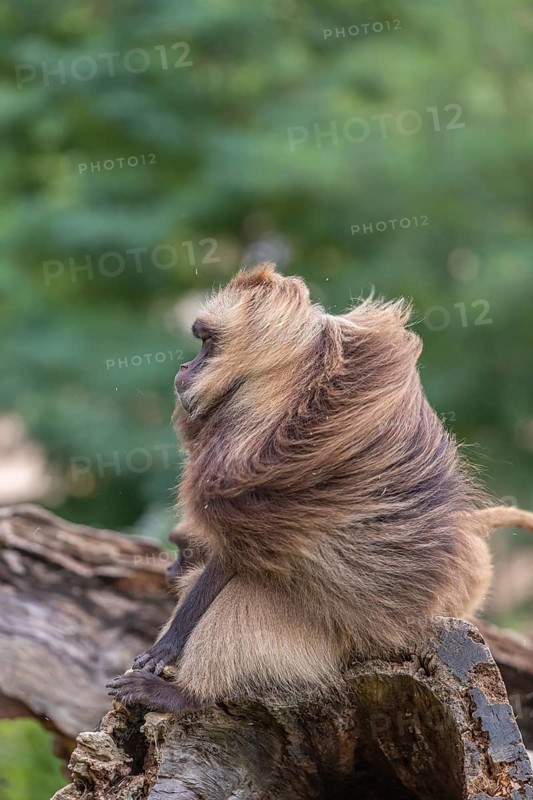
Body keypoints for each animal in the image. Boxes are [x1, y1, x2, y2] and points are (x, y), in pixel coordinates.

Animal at [108, 262, 533, 714]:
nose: (184, 369)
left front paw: (168, 648)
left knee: (250, 588)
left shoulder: (251, 425)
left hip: (350, 635)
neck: (295, 369)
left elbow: (236, 552)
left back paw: (188, 697)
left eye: (206, 343)